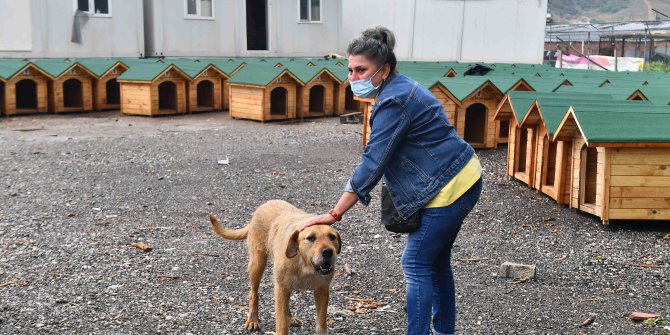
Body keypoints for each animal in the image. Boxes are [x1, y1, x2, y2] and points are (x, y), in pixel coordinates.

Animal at [209, 201, 342, 334]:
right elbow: (281, 324)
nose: (328, 252)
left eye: (332, 237)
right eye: (311, 238)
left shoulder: (322, 289)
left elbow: (321, 323)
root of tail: (264, 205)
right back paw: (253, 319)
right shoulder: (281, 288)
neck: (304, 265)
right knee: (254, 294)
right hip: (257, 264)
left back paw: (289, 318)